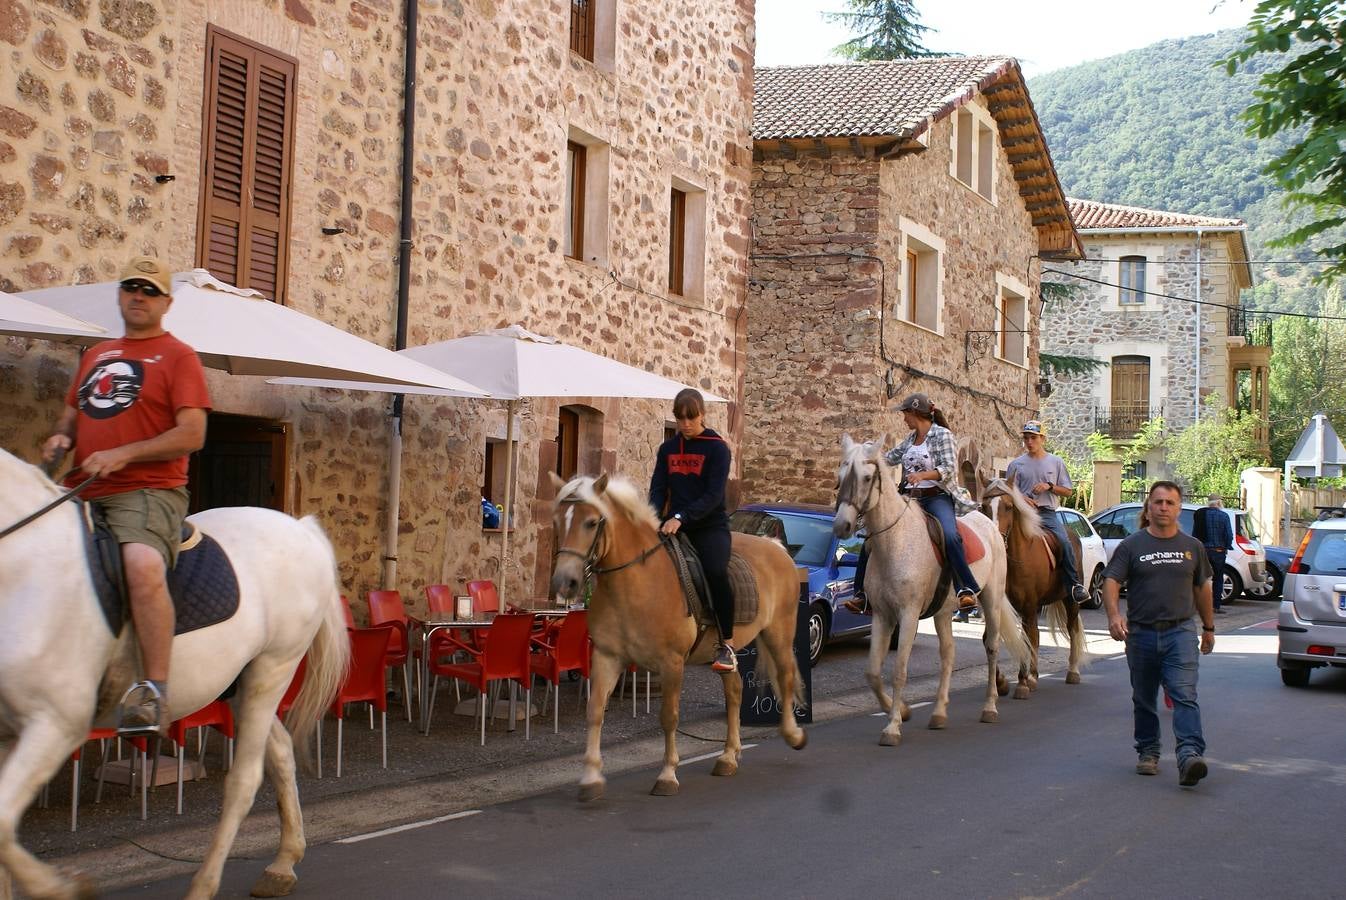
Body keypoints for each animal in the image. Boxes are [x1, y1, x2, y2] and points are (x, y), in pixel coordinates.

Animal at [1, 449, 347, 898]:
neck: (24, 565)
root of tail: (300, 528)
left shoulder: (55, 724)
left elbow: (2, 825)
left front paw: (64, 885)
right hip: (239, 686)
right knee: (281, 752)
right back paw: (282, 863)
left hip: (272, 670)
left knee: (244, 779)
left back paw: (204, 884)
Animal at [543, 473, 802, 796]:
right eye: (557, 520)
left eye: (591, 522)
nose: (564, 582)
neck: (636, 582)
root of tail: (776, 548)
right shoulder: (607, 656)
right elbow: (595, 710)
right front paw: (591, 778)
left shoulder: (672, 663)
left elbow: (669, 717)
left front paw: (667, 774)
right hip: (726, 652)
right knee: (735, 690)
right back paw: (728, 757)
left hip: (779, 632)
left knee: (785, 676)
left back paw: (793, 735)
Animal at [829, 433, 1028, 742]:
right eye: (840, 475)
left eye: (866, 477)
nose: (842, 525)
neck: (895, 542)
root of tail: (989, 524)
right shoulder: (882, 615)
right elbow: (872, 672)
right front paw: (902, 711)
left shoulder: (908, 615)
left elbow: (899, 671)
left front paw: (892, 727)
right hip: (944, 612)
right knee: (948, 655)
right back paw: (939, 713)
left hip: (991, 601)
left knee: (992, 647)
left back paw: (990, 707)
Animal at [985, 476, 1087, 694]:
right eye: (984, 506)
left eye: (1009, 506)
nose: (995, 538)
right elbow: (989, 638)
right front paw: (1002, 682)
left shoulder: (1029, 605)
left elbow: (1028, 638)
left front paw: (1024, 682)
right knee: (1037, 635)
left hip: (1070, 599)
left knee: (1072, 628)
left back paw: (1072, 672)